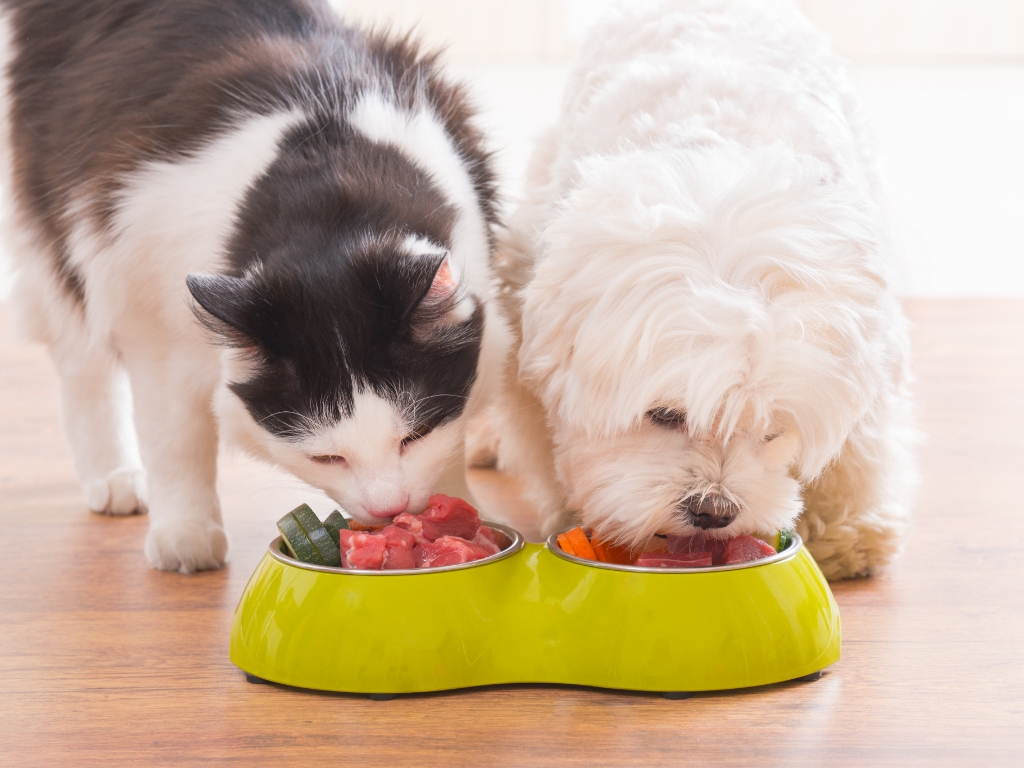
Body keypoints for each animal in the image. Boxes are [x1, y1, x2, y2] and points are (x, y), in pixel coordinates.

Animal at [0, 0, 503, 573]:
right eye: (327, 457)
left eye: (414, 436)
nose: (389, 508)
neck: (326, 197)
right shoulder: (154, 324)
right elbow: (174, 441)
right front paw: (186, 535)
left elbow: (453, 438)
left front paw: (455, 509)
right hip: (61, 236)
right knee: (80, 359)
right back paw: (115, 478)